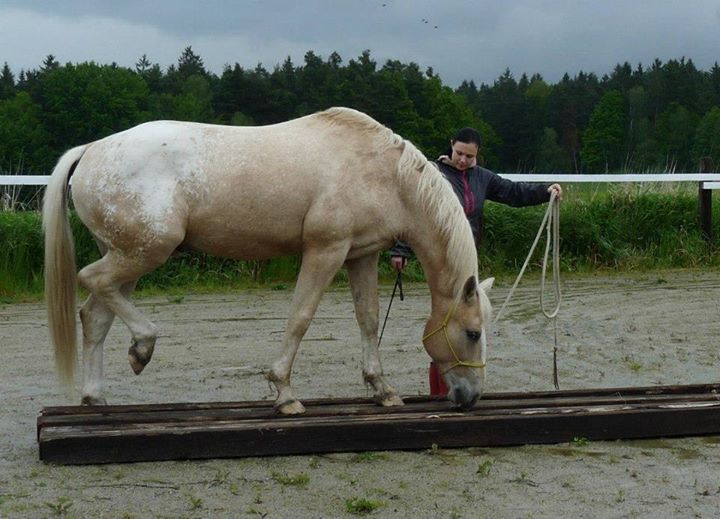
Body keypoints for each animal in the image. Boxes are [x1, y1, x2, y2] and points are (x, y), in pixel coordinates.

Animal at [43, 107, 496, 416]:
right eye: (472, 333)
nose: (471, 397)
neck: (382, 172)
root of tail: (91, 150)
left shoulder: (361, 255)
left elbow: (367, 319)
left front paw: (382, 390)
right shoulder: (325, 250)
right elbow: (300, 317)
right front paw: (284, 394)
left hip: (128, 255)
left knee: (95, 315)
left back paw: (97, 395)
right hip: (146, 250)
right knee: (92, 279)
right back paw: (143, 345)